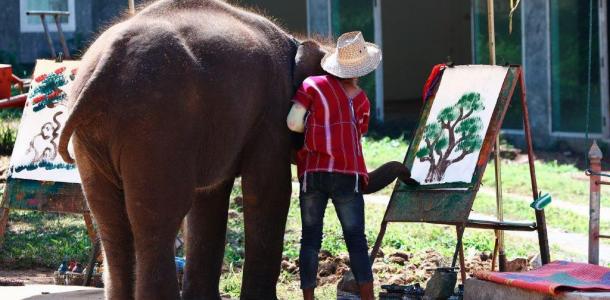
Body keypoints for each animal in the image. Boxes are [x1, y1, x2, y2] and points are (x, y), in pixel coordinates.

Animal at [58, 1, 414, 298]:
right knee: (157, 223)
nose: (410, 177)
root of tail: (105, 64)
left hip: (96, 138)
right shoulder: (270, 115)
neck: (297, 42)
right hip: (155, 126)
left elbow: (209, 200)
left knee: (112, 226)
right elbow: (269, 192)